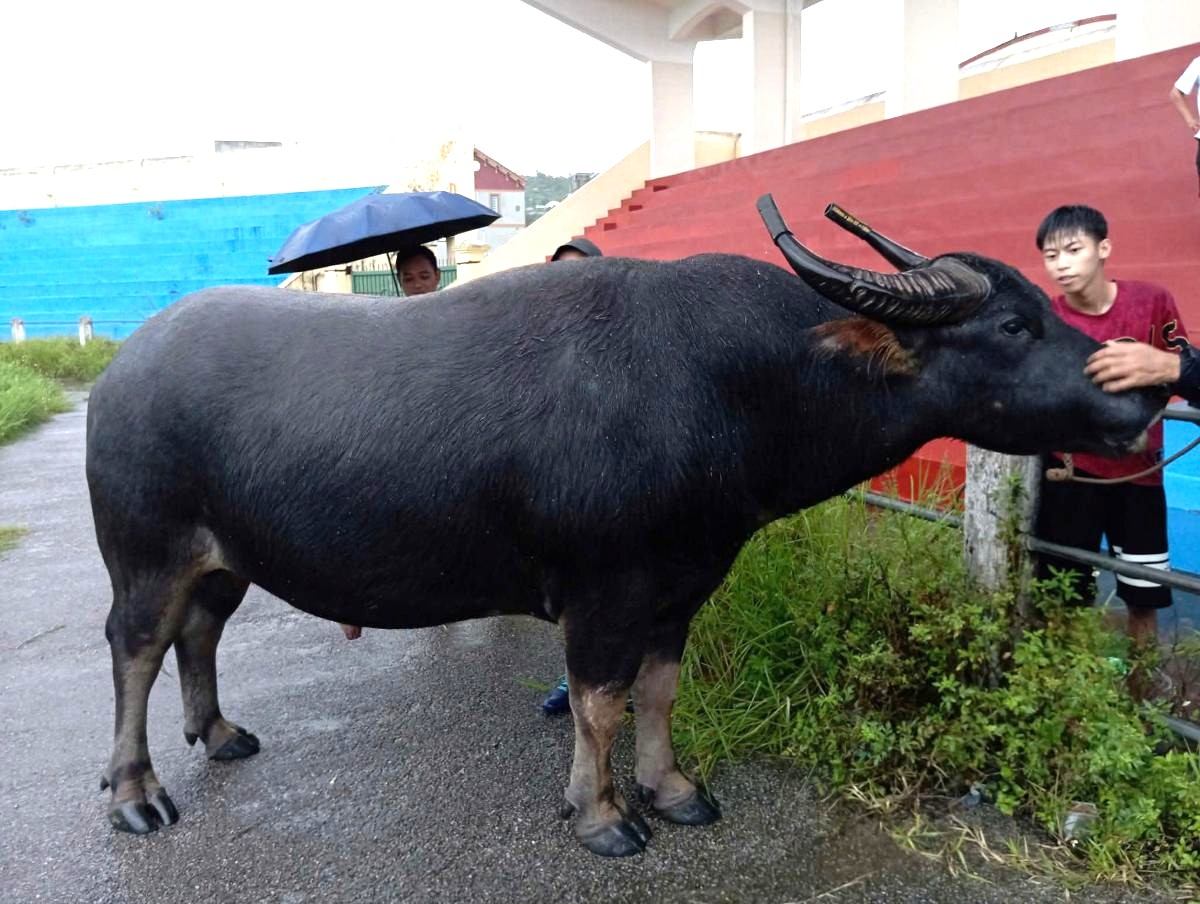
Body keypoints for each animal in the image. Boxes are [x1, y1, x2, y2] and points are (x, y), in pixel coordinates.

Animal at [87, 197, 1162, 856]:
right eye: (1014, 327)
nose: (1141, 391)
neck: (729, 382)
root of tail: (120, 369)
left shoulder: (682, 583)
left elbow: (659, 692)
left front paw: (675, 790)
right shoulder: (604, 590)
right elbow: (599, 700)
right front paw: (603, 813)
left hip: (223, 558)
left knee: (200, 634)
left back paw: (220, 732)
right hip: (144, 554)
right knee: (135, 648)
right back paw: (136, 793)